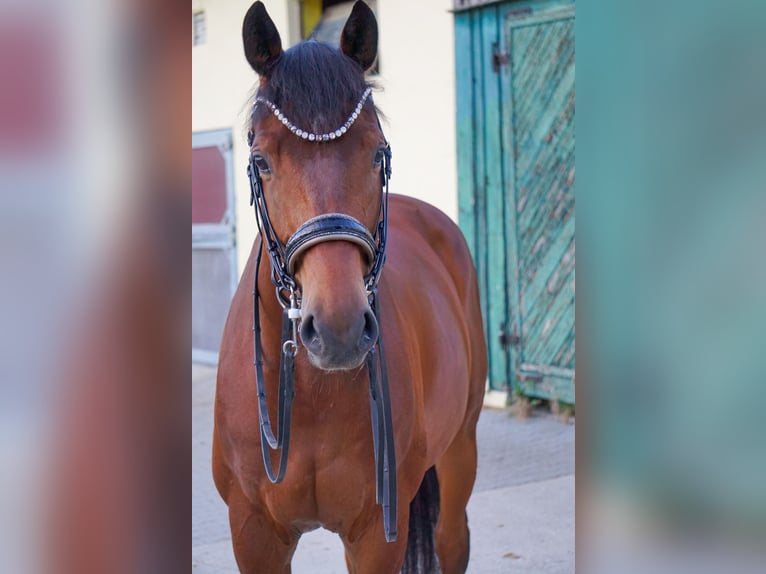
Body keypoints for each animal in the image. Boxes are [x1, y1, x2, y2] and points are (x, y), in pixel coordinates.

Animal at [212, 2, 486, 572]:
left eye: (378, 153)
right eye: (261, 160)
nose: (338, 329)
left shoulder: (376, 533)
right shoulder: (252, 532)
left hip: (461, 448)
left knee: (452, 538)